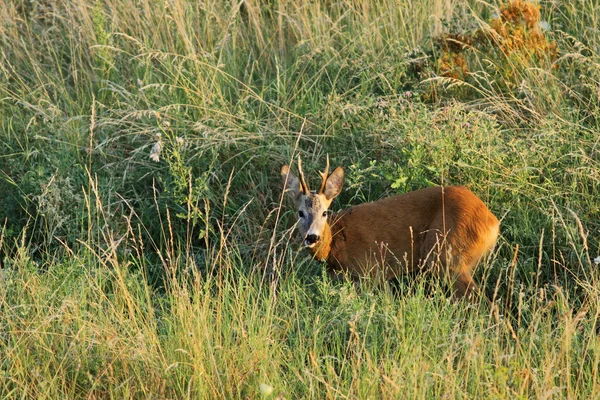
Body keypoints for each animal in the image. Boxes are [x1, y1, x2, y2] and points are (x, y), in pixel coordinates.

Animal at [282, 156, 502, 296]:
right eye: (300, 213)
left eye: (325, 212)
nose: (312, 237)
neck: (337, 242)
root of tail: (492, 222)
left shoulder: (372, 271)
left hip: (448, 256)